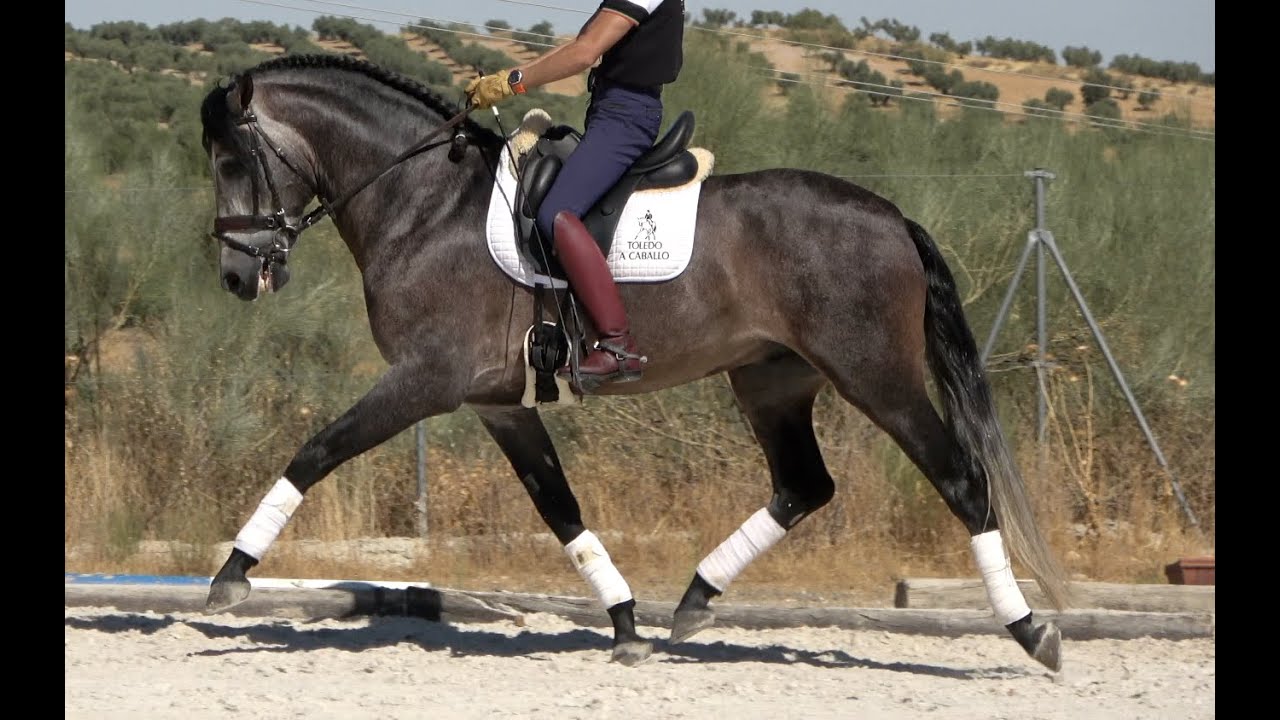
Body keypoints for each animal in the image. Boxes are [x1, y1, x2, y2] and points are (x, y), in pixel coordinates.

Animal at [198, 54, 1071, 670]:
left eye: (232, 162)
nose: (237, 276)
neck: (424, 205)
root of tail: (893, 217)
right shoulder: (498, 403)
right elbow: (560, 507)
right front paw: (623, 622)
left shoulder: (424, 380)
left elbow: (315, 451)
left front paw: (232, 574)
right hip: (771, 379)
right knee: (803, 485)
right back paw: (692, 598)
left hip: (874, 375)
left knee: (961, 479)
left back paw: (1031, 632)